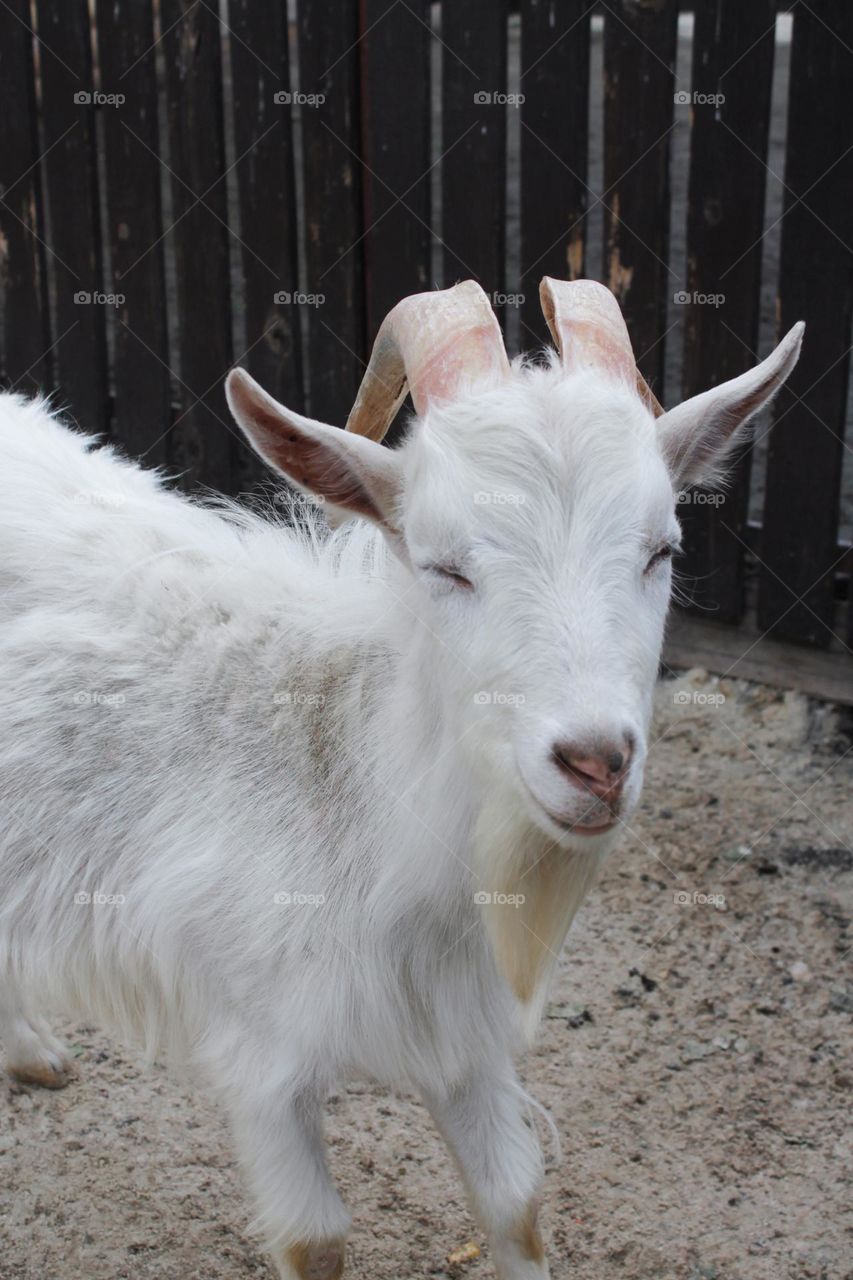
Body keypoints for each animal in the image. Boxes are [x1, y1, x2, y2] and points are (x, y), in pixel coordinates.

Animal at [0, 278, 802, 1279]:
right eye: (443, 564)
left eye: (661, 550)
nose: (594, 761)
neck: (346, 787)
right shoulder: (260, 1054)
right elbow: (315, 1239)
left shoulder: (462, 1033)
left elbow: (515, 1204)